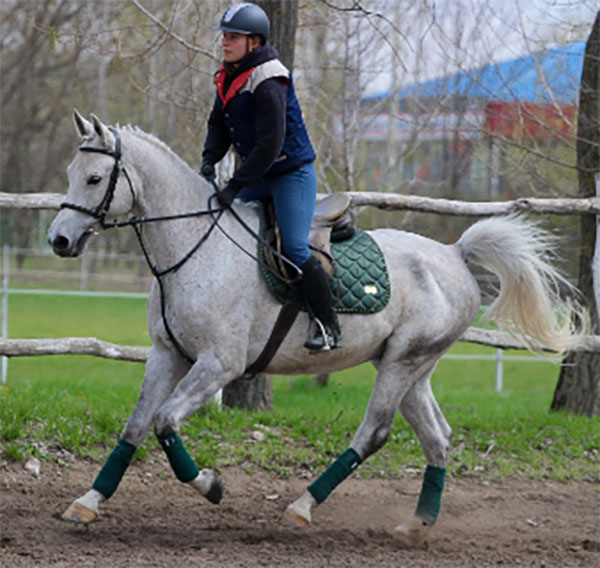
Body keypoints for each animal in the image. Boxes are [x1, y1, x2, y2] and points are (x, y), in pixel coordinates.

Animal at [48, 111, 584, 544]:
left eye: (94, 178)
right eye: (70, 174)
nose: (58, 241)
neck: (194, 245)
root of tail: (454, 253)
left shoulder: (219, 364)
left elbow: (164, 422)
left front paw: (212, 486)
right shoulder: (167, 354)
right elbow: (137, 425)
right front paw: (87, 503)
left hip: (402, 363)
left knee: (374, 432)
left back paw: (302, 507)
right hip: (412, 367)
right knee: (437, 437)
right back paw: (416, 526)